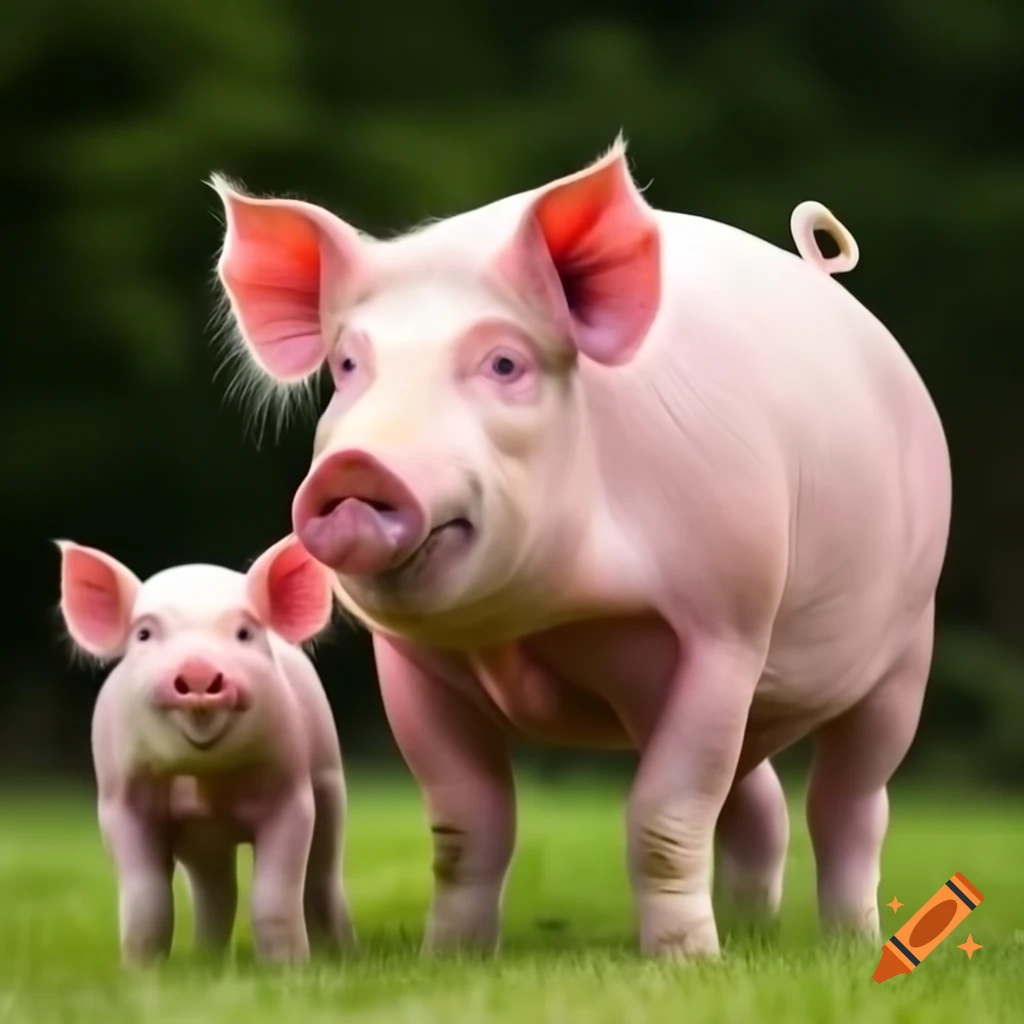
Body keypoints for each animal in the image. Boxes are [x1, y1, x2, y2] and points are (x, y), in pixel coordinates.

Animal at [55, 534, 354, 966]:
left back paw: (341, 955)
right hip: (202, 844)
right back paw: (206, 960)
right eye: (143, 635)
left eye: (244, 633)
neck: (205, 782)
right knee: (216, 892)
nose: (197, 669)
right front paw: (140, 972)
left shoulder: (292, 793)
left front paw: (289, 969)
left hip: (330, 784)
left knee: (321, 877)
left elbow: (273, 896)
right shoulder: (118, 802)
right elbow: (146, 901)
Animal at [208, 137, 951, 959]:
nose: (355, 466)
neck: (537, 619)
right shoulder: (408, 663)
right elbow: (466, 826)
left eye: (505, 363)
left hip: (908, 643)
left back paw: (850, 946)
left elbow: (664, 815)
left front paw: (685, 965)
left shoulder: (726, 630)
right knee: (756, 800)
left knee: (850, 802)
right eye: (347, 367)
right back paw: (751, 935)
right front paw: (450, 957)